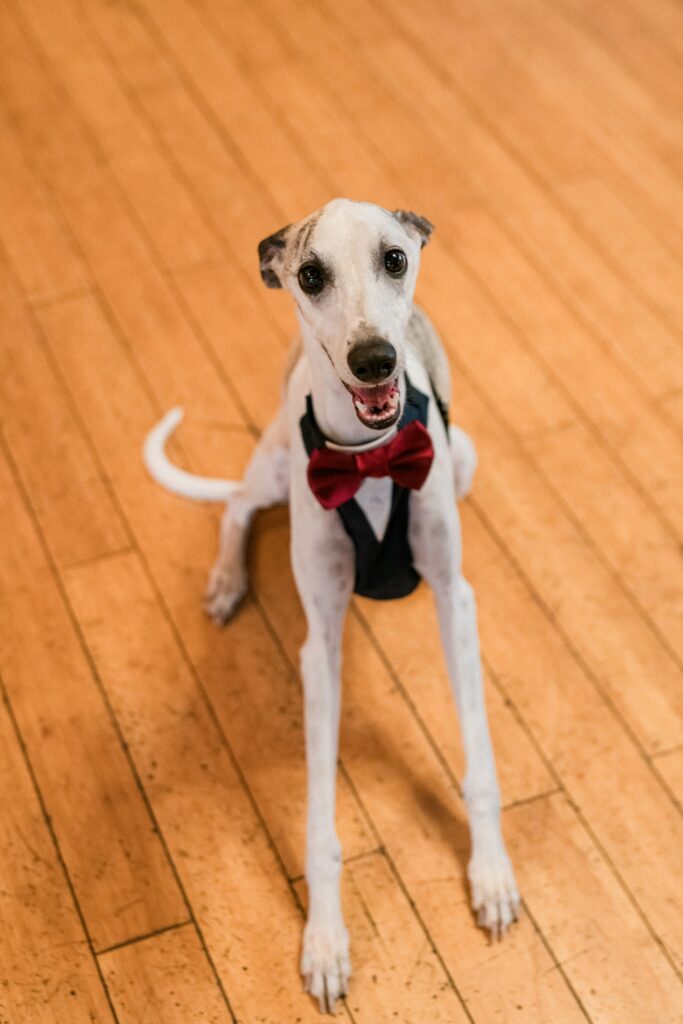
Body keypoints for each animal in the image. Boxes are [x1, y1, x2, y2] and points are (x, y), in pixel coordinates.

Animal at [144, 199, 520, 1013]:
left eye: (394, 258)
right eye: (310, 275)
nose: (374, 359)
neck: (370, 460)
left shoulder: (456, 599)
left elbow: (478, 762)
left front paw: (492, 876)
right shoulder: (321, 647)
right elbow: (319, 825)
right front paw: (323, 942)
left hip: (465, 459)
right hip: (276, 466)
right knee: (236, 507)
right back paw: (227, 582)